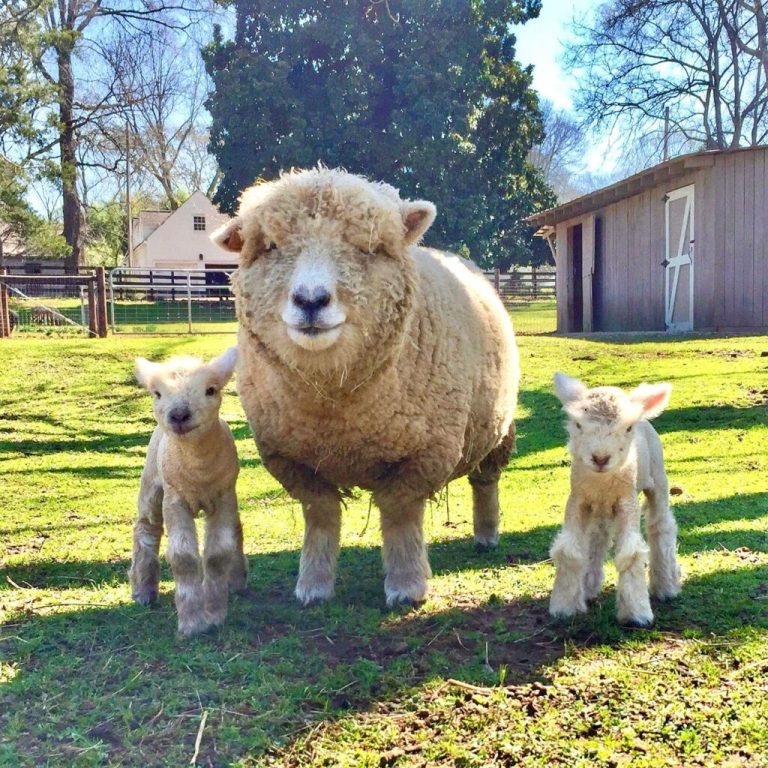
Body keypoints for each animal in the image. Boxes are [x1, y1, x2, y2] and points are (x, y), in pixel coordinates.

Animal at [128, 348, 247, 637]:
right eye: (157, 393)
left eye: (211, 390)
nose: (179, 415)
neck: (198, 474)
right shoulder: (176, 500)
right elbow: (183, 557)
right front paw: (192, 623)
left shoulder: (223, 496)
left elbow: (217, 554)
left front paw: (214, 614)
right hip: (152, 481)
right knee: (146, 528)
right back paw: (143, 591)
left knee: (236, 529)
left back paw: (236, 581)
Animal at [211, 167, 519, 608]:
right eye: (269, 246)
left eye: (369, 247)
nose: (310, 300)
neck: (335, 408)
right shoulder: (289, 458)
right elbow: (321, 514)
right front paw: (313, 585)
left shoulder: (426, 454)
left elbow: (399, 513)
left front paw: (406, 585)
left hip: (497, 429)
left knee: (485, 482)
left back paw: (487, 535)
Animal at [549, 373, 681, 627]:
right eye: (578, 425)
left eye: (628, 428)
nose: (600, 458)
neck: (601, 483)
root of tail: (644, 416)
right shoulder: (578, 499)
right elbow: (569, 550)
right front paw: (564, 606)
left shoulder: (626, 500)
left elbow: (631, 553)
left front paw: (637, 613)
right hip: (600, 508)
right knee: (598, 537)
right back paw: (589, 586)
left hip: (658, 478)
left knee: (661, 526)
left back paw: (667, 586)